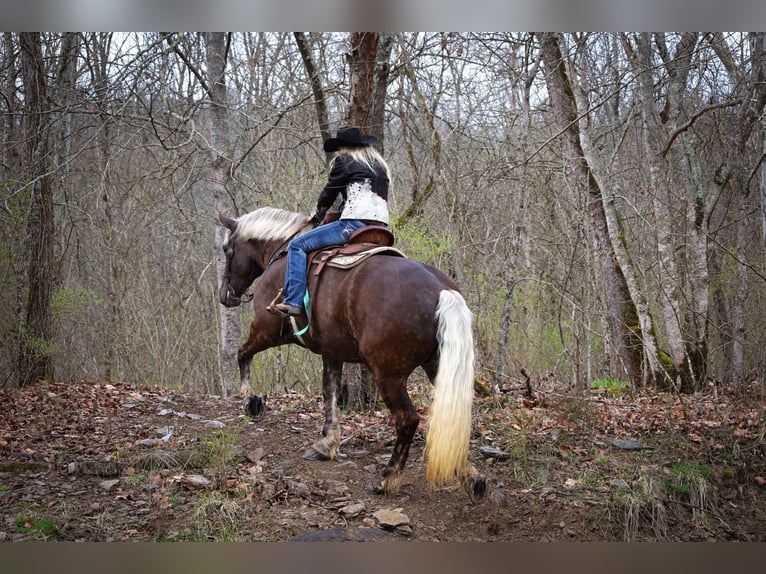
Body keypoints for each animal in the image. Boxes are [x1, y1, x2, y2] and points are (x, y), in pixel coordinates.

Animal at [219, 208, 488, 504]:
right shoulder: (331, 351)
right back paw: (470, 477)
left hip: (389, 375)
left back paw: (387, 479)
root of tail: (442, 291)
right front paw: (326, 444)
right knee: (455, 418)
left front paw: (250, 399)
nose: (225, 296)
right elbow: (330, 393)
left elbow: (242, 353)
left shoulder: (265, 330)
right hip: (437, 366)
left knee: (408, 420)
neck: (283, 250)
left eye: (227, 250)